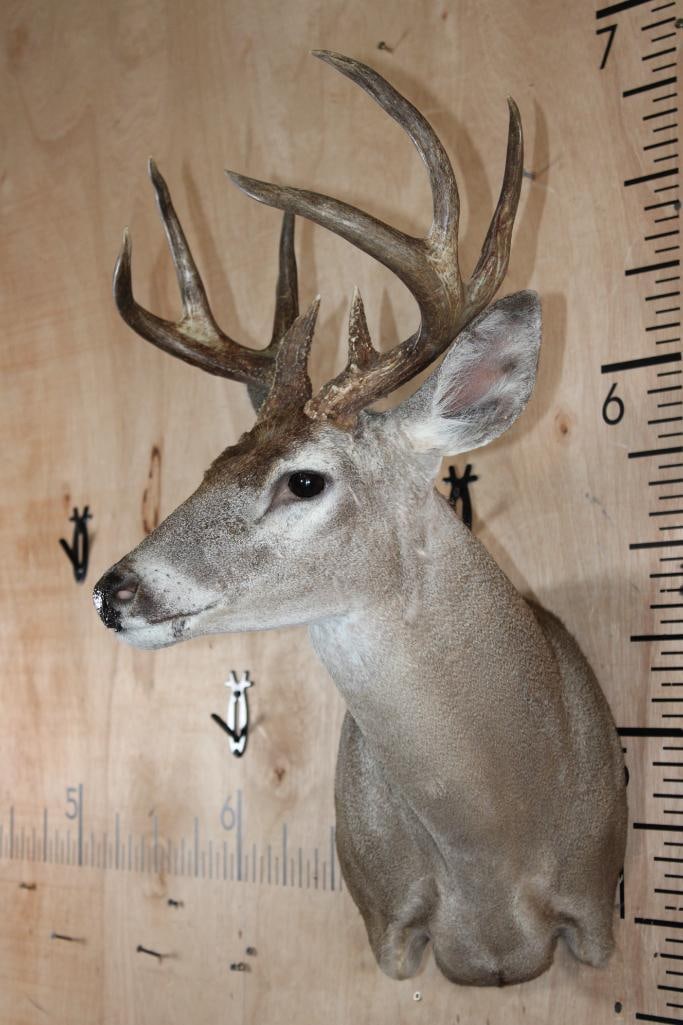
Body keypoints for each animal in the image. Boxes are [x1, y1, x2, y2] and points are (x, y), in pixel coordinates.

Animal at [93, 51, 627, 987]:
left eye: (304, 480)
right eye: (211, 465)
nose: (115, 589)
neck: (495, 839)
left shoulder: (599, 902)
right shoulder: (383, 922)